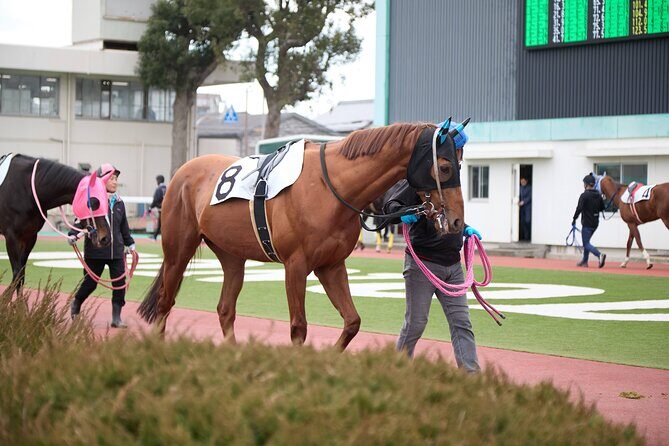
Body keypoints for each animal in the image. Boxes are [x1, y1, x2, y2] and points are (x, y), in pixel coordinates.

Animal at [0, 154, 111, 289]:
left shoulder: (29, 236)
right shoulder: (12, 237)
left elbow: (21, 274)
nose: (105, 238)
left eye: (107, 201)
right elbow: (17, 274)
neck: (26, 188)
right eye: (94, 202)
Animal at [139, 122, 465, 349]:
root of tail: (183, 171)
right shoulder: (295, 266)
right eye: (445, 167)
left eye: (460, 165)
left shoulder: (331, 265)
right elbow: (299, 328)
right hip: (178, 250)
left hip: (232, 255)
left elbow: (352, 322)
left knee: (225, 309)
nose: (457, 221)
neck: (330, 186)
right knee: (165, 302)